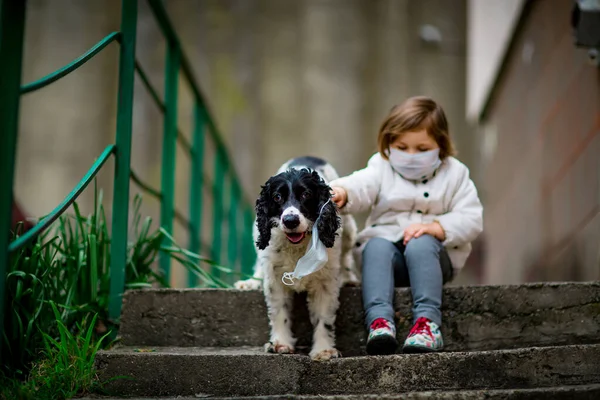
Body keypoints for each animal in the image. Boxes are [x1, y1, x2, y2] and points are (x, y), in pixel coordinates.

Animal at [233, 157, 356, 362]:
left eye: (306, 194)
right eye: (277, 197)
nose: (290, 220)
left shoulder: (325, 282)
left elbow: (324, 318)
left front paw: (323, 349)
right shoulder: (275, 276)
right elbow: (278, 311)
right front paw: (280, 343)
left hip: (349, 230)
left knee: (346, 255)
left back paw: (349, 278)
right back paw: (251, 281)